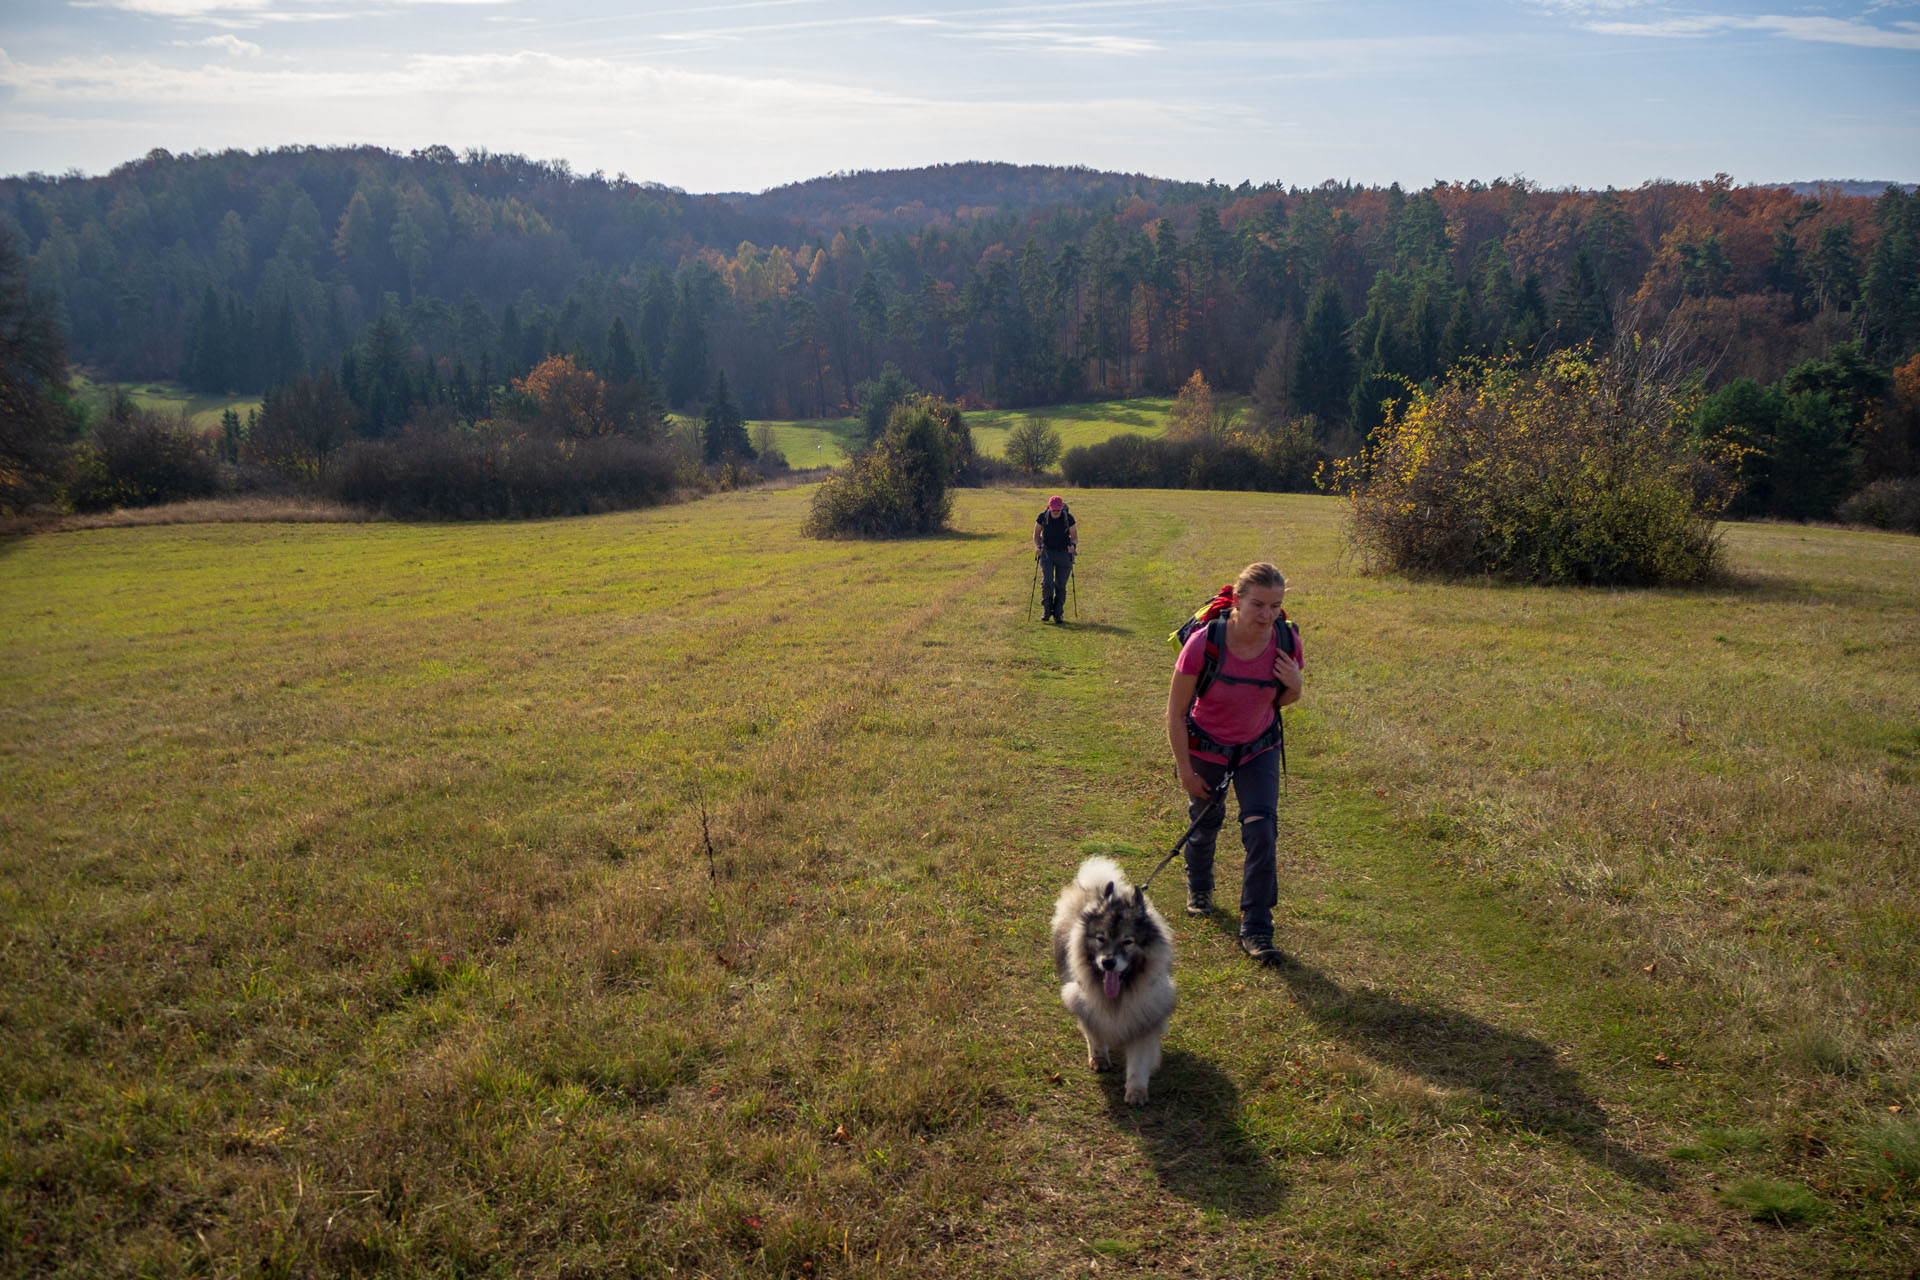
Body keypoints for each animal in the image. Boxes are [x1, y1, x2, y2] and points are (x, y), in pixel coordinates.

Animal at [1052, 855, 1167, 1105]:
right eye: (1100, 938)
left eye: (1127, 941)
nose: (1108, 962)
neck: (1119, 994)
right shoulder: (1086, 1004)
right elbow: (1095, 1035)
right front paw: (1099, 1058)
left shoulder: (1146, 1016)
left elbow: (1139, 1061)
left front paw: (1136, 1091)